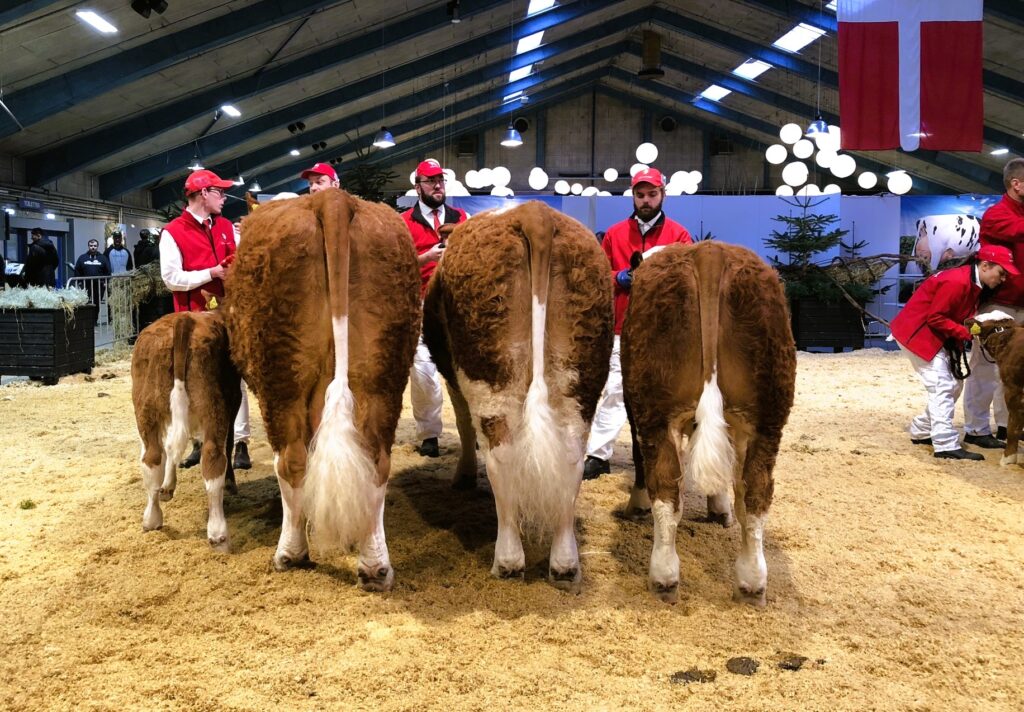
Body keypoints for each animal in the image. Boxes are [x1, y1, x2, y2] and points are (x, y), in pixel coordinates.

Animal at [132, 311, 241, 553]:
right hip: (214, 408)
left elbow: (171, 448)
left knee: (152, 457)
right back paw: (218, 535)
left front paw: (167, 486)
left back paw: (152, 519)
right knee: (213, 459)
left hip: (146, 409)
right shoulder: (234, 400)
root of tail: (183, 319)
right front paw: (231, 482)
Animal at [226, 189, 417, 590]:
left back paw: (291, 552)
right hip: (383, 374)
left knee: (292, 461)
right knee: (375, 458)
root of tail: (333, 199)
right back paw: (375, 565)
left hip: (281, 377)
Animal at [421, 200, 610, 590]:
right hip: (580, 377)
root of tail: (534, 213)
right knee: (571, 458)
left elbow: (462, 423)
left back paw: (507, 561)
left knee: (502, 457)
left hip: (488, 374)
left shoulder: (454, 377)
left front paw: (463, 475)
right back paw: (564, 565)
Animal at [618, 242, 794, 602]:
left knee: (666, 488)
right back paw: (752, 582)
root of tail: (710, 252)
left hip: (654, 410)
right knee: (755, 493)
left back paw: (664, 576)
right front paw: (719, 509)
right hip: (769, 417)